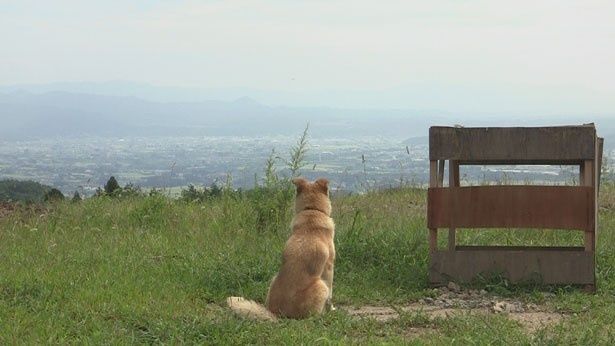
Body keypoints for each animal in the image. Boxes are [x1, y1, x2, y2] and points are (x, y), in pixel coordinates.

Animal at [229, 178, 336, 322]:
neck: (312, 211)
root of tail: (279, 314)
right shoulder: (329, 267)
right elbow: (331, 292)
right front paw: (332, 308)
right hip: (321, 286)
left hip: (273, 278)